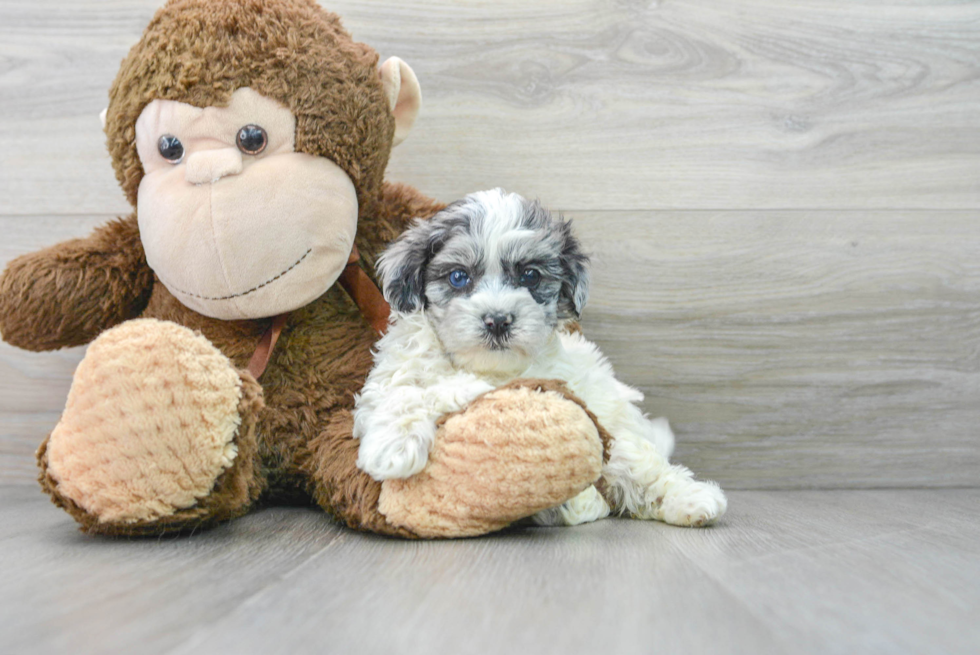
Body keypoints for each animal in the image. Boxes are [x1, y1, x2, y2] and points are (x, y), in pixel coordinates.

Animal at [352, 190, 728, 528]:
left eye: (530, 275)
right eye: (458, 277)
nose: (497, 320)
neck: (487, 368)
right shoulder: (391, 375)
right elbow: (408, 390)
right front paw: (393, 444)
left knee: (636, 463)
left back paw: (691, 498)